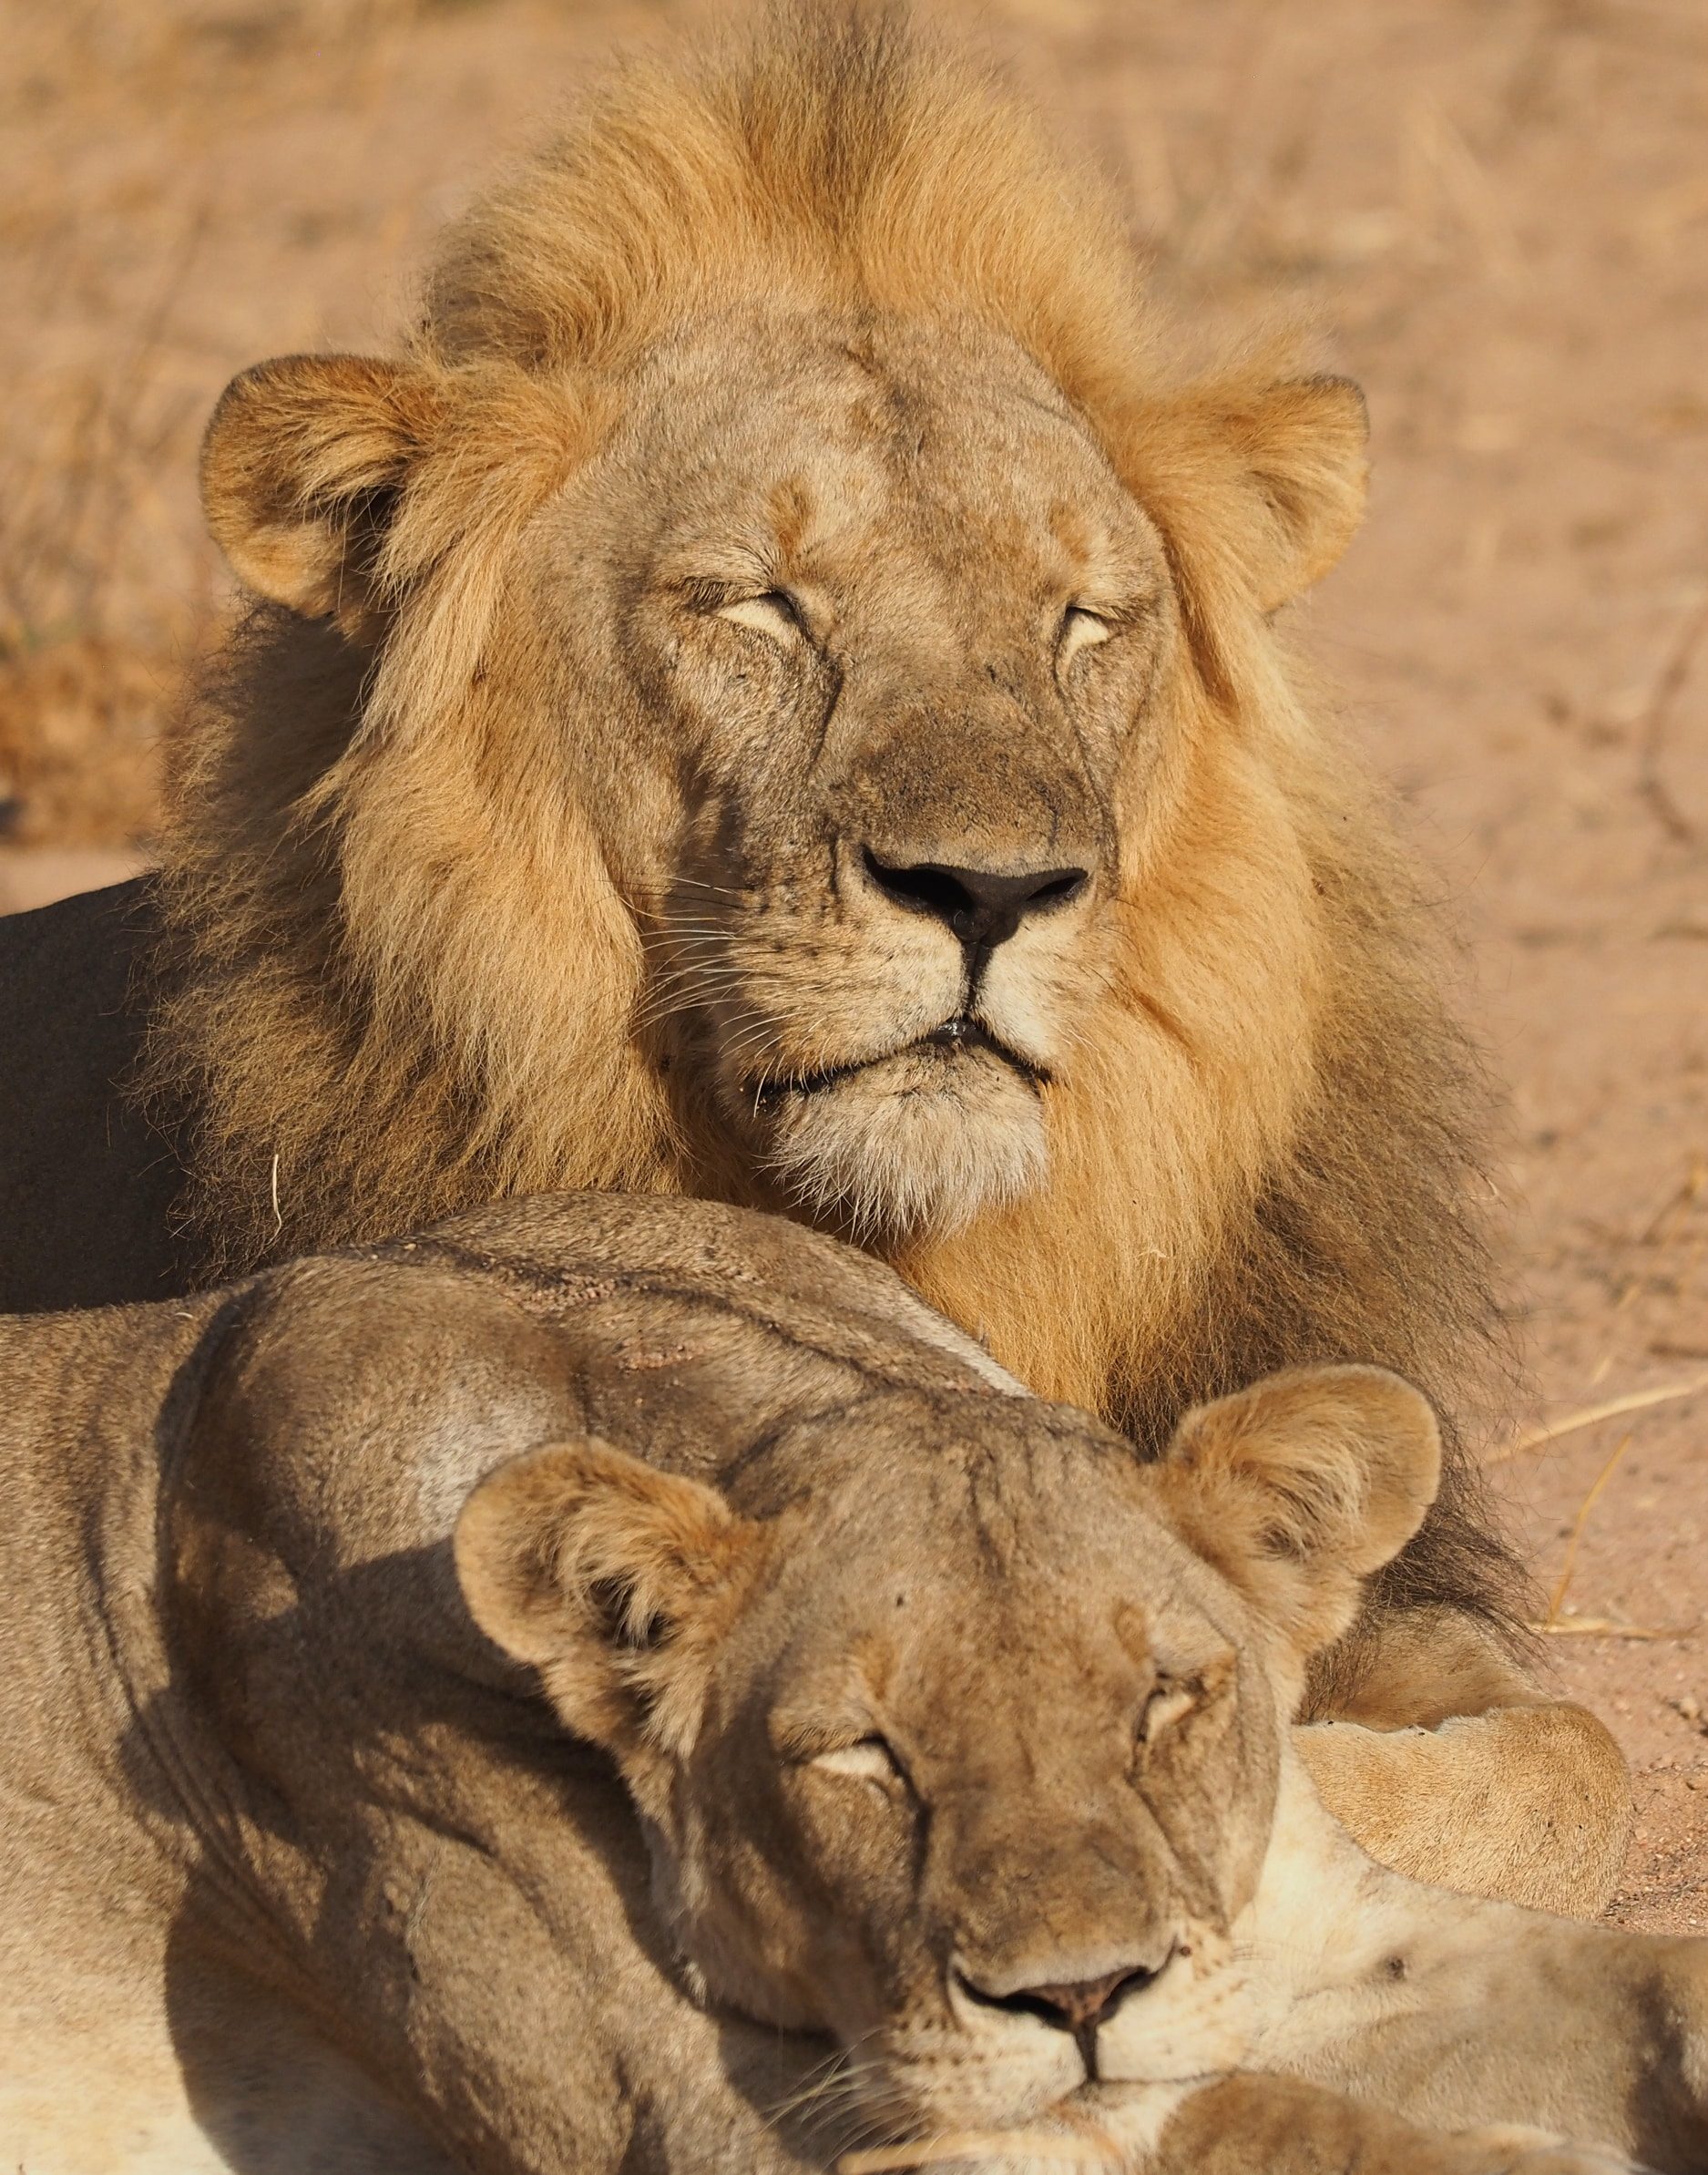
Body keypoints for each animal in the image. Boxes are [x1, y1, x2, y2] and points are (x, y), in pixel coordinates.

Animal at [3, 1192, 1703, 2175]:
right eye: (861, 1756)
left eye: (1164, 1699)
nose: (1080, 1994)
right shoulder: (737, 2116)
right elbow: (1275, 2129)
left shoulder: (1314, 1938)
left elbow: (1642, 1984)